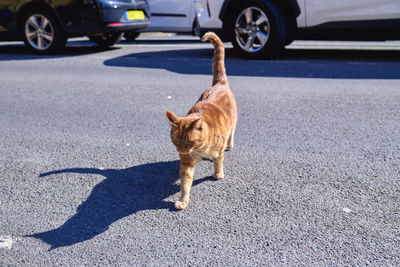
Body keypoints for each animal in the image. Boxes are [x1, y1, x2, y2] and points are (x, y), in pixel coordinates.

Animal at [166, 31, 238, 211]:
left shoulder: (217, 151)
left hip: (233, 121)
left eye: (189, 141)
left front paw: (218, 174)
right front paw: (183, 200)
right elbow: (185, 182)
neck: (200, 149)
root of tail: (219, 83)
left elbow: (219, 161)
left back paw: (229, 145)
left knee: (231, 133)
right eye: (176, 140)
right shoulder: (186, 162)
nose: (181, 150)